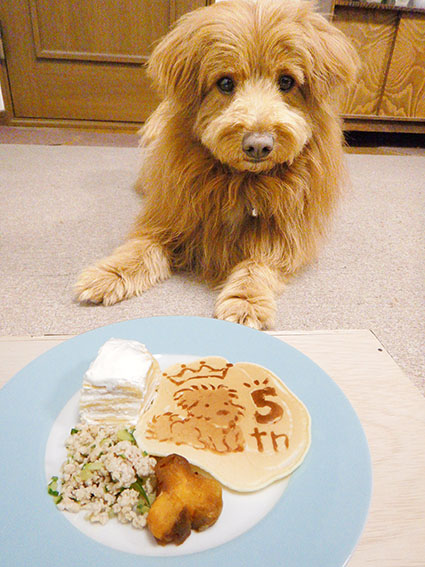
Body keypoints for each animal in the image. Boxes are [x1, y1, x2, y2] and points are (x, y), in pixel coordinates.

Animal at [75, 0, 358, 330]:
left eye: (287, 81)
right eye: (225, 82)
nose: (258, 144)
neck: (242, 181)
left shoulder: (284, 239)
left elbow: (256, 266)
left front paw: (246, 303)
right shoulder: (169, 216)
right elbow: (140, 247)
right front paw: (108, 275)